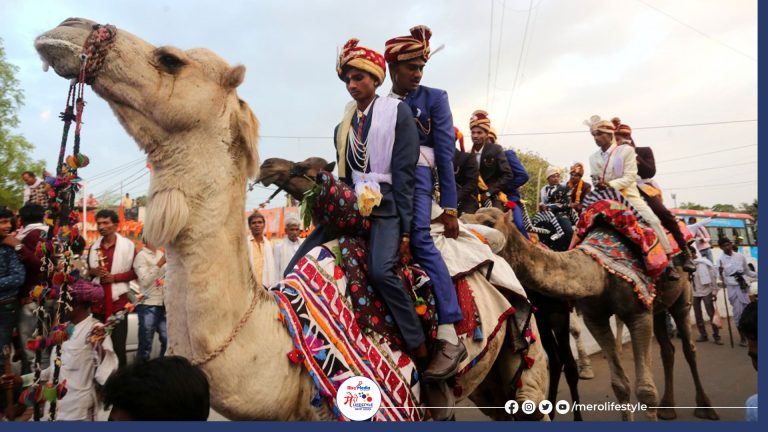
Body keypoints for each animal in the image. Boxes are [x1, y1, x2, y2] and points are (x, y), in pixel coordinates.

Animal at [462, 208, 720, 422]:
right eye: (467, 216)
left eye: (489, 221)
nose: (460, 224)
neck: (599, 272)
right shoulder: (594, 318)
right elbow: (620, 385)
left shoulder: (638, 313)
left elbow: (646, 391)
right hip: (658, 306)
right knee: (667, 349)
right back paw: (668, 408)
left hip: (682, 296)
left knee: (689, 348)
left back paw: (706, 408)